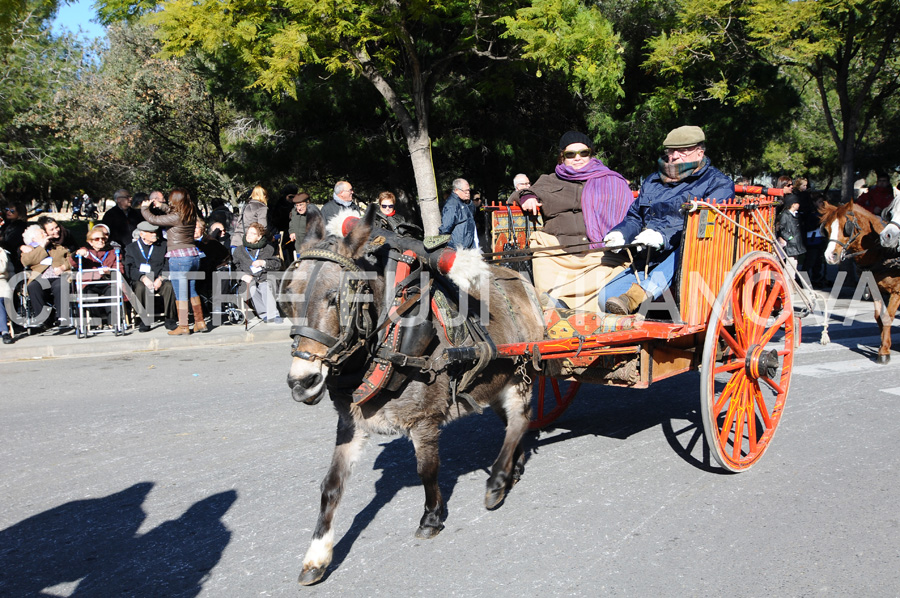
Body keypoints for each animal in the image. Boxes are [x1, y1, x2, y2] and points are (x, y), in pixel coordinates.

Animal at [282, 206, 548, 584]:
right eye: (287, 296)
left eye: (336, 297)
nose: (301, 383)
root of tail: (519, 278)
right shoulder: (350, 423)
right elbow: (331, 486)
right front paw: (316, 557)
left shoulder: (424, 421)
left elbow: (427, 469)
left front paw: (431, 518)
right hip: (496, 382)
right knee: (514, 424)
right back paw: (513, 465)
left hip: (518, 374)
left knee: (521, 420)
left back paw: (497, 481)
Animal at [824, 199, 900, 364]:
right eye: (826, 228)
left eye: (846, 227)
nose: (830, 256)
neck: (882, 254)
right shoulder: (875, 289)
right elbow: (879, 317)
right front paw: (884, 345)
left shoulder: (897, 292)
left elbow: (887, 317)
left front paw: (884, 351)